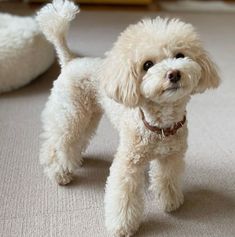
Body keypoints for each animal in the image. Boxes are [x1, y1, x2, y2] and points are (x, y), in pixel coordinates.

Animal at [36, 0, 220, 236]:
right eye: (147, 65)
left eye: (179, 55)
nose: (174, 74)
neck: (160, 125)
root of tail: (70, 60)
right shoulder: (128, 164)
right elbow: (123, 196)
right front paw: (122, 226)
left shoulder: (171, 157)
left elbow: (167, 179)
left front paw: (171, 202)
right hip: (71, 113)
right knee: (56, 142)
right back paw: (58, 173)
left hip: (90, 114)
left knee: (75, 140)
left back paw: (73, 160)